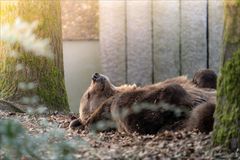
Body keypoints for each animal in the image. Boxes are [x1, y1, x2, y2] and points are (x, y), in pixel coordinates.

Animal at [70, 69, 218, 134]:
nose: (95, 76)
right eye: (88, 95)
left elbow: (204, 78)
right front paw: (192, 99)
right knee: (204, 114)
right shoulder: (117, 108)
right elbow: (141, 121)